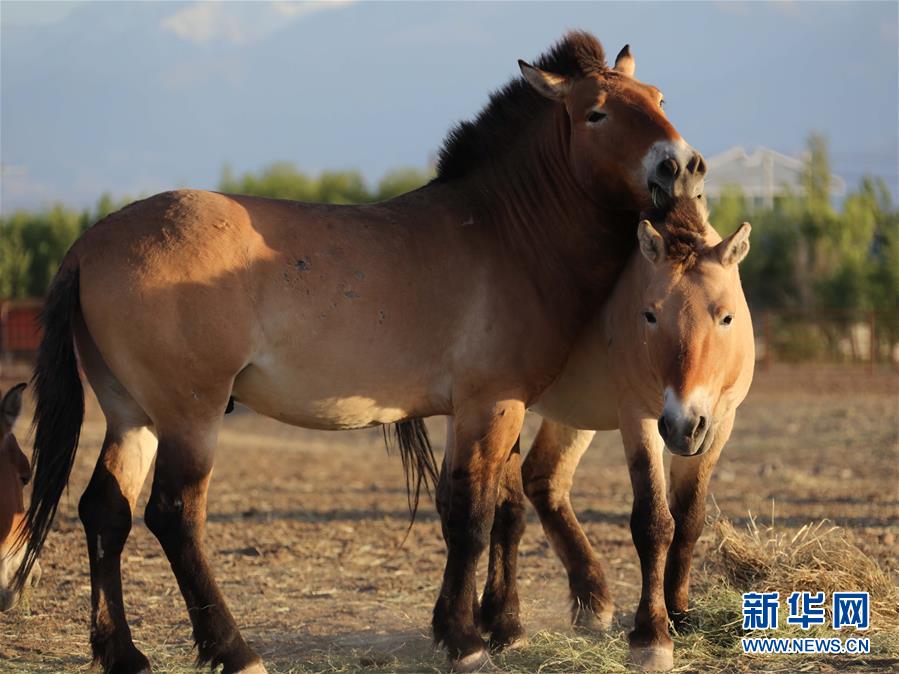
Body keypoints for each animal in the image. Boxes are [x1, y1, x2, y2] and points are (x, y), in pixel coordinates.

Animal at [10, 32, 708, 672]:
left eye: (658, 98)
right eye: (596, 113)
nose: (682, 166)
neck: (504, 232)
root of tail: (90, 244)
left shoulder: (483, 409)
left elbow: (491, 509)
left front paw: (489, 628)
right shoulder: (493, 403)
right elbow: (473, 516)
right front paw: (466, 642)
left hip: (133, 416)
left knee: (106, 511)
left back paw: (123, 653)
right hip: (189, 415)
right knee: (174, 515)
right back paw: (234, 650)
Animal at [474, 196, 756, 668]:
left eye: (726, 317)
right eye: (650, 315)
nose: (683, 424)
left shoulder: (719, 425)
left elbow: (689, 518)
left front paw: (680, 613)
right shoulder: (639, 418)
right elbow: (654, 522)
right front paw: (652, 636)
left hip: (572, 416)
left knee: (544, 480)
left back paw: (591, 601)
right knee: (505, 503)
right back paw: (503, 621)